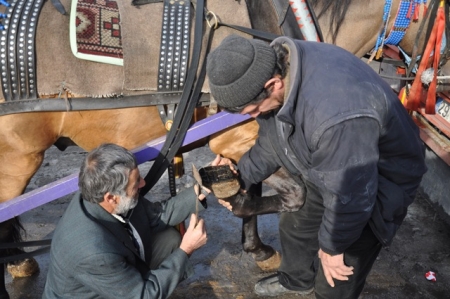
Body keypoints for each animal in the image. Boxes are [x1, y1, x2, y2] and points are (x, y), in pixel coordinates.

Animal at [0, 0, 444, 298]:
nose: (437, 83)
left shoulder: (253, 135)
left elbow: (254, 182)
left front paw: (256, 244)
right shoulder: (235, 134)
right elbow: (293, 192)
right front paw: (246, 217)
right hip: (16, 160)